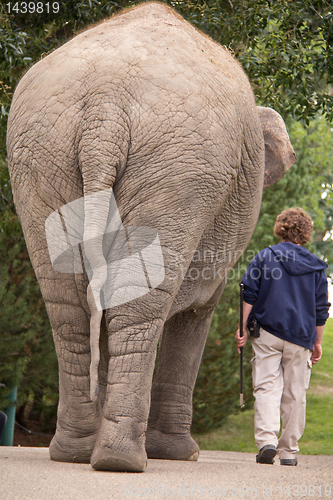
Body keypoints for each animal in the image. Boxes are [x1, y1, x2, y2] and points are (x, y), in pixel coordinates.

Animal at [6, 1, 294, 472]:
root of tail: (105, 108)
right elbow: (196, 315)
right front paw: (181, 455)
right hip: (181, 170)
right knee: (133, 306)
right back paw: (122, 460)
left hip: (43, 156)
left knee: (69, 306)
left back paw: (76, 453)